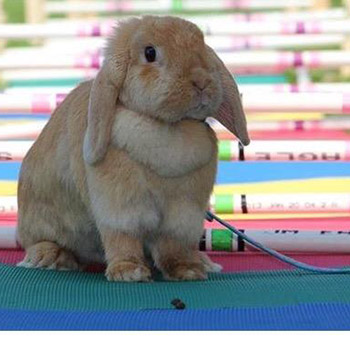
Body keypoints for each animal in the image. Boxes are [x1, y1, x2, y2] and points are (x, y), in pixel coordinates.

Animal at [17, 15, 249, 282]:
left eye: (201, 45)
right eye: (150, 53)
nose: (201, 80)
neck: (168, 126)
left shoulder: (183, 214)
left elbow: (173, 247)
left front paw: (188, 270)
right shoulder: (120, 207)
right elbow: (122, 238)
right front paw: (129, 272)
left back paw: (202, 261)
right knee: (40, 241)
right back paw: (50, 257)